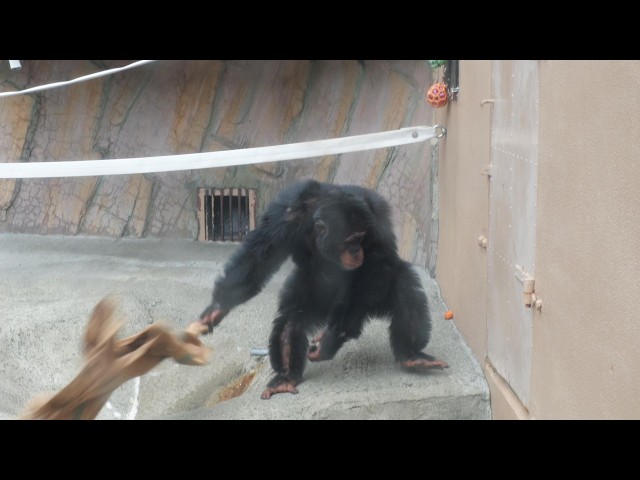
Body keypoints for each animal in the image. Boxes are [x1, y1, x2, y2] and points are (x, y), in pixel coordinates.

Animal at [199, 179, 448, 399]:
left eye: (361, 237)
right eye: (350, 240)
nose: (357, 251)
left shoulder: (376, 218)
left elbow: (375, 267)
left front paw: (329, 342)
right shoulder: (286, 214)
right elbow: (260, 255)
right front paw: (218, 306)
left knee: (404, 288)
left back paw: (411, 355)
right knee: (291, 320)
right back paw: (287, 376)